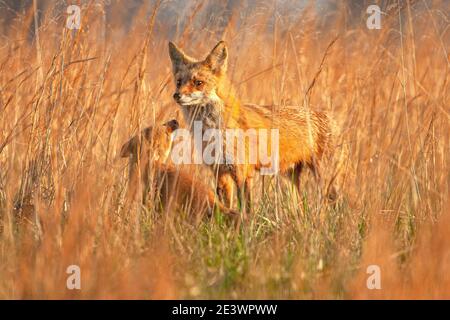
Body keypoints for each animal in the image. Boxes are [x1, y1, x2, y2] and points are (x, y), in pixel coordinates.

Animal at [168, 41, 338, 214]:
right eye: (179, 82)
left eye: (198, 83)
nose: (177, 95)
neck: (213, 131)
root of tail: (327, 115)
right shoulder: (220, 172)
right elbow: (226, 206)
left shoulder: (242, 173)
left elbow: (246, 208)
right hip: (289, 179)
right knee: (300, 208)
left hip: (324, 177)